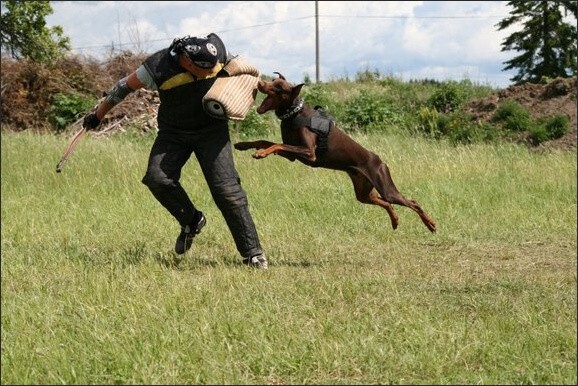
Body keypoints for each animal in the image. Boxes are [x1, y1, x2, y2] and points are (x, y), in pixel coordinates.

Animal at [232, 71, 434, 232]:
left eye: (279, 88)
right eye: (273, 81)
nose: (259, 83)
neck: (294, 113)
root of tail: (380, 161)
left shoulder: (309, 153)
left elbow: (276, 145)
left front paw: (260, 153)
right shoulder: (292, 155)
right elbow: (265, 142)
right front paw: (243, 145)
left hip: (385, 186)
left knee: (411, 202)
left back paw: (430, 224)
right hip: (363, 192)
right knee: (385, 203)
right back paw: (395, 220)